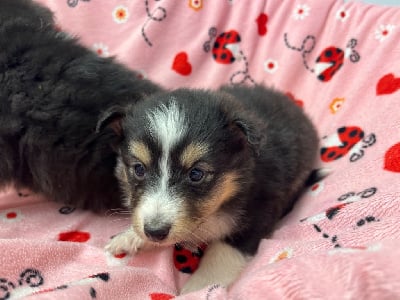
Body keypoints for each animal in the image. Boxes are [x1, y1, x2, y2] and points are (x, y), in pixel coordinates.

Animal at [99, 84, 318, 292]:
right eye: (138, 169)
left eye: (196, 174)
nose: (155, 231)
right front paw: (129, 237)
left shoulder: (261, 209)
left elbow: (224, 251)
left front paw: (199, 287)